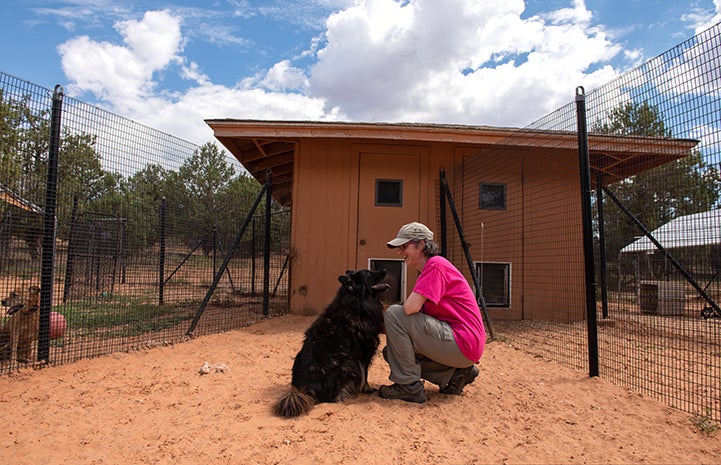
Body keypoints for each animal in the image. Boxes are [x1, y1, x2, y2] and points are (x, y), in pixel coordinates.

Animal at [274, 268, 388, 416]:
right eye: (369, 273)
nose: (385, 269)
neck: (357, 301)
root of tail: (305, 390)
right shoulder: (364, 352)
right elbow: (365, 374)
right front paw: (366, 389)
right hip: (348, 363)